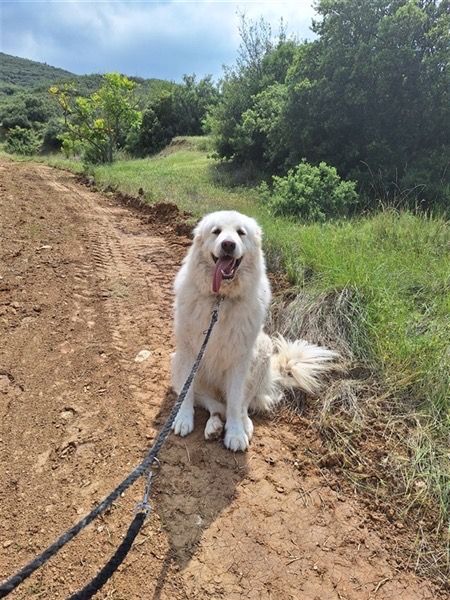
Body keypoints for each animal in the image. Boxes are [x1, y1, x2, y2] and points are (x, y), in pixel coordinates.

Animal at [171, 210, 337, 451]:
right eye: (216, 231)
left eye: (241, 233)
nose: (228, 244)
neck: (221, 299)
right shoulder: (187, 351)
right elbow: (187, 391)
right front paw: (183, 418)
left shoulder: (240, 358)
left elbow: (236, 401)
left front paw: (236, 433)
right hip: (176, 361)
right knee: (213, 404)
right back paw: (214, 426)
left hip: (262, 351)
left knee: (241, 403)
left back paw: (242, 424)